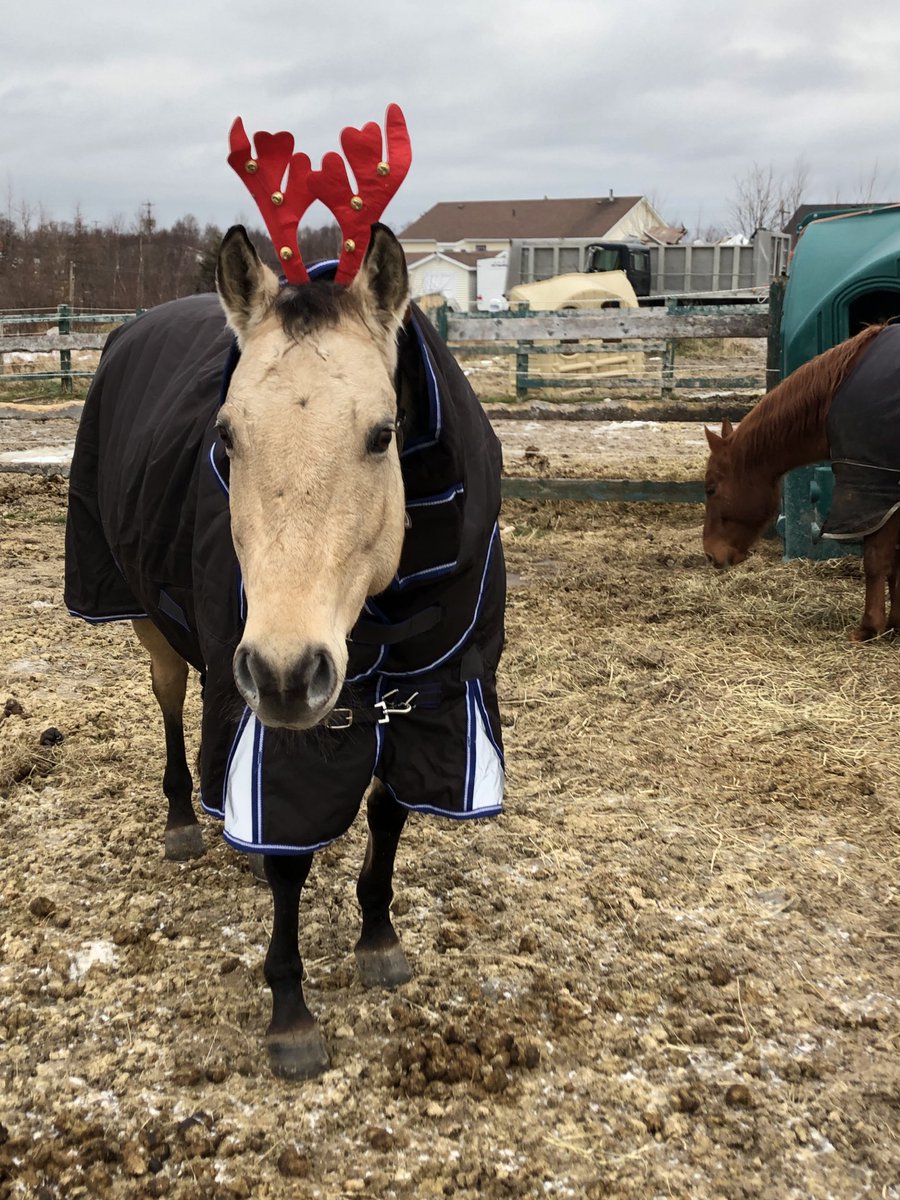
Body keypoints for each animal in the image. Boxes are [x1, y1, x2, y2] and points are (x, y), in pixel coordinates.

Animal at [64, 221, 507, 1078]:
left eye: (382, 434)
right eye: (226, 437)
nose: (285, 672)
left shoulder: (433, 700)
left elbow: (389, 815)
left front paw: (378, 939)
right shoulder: (272, 728)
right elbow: (288, 856)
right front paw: (292, 1013)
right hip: (148, 617)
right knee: (170, 700)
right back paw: (183, 819)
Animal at [703, 322, 900, 641]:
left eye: (711, 488)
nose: (710, 554)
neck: (833, 396)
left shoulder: (872, 492)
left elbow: (876, 560)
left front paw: (869, 627)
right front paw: (895, 622)